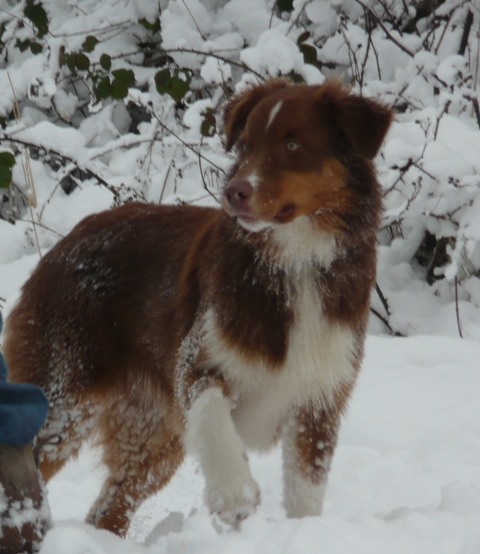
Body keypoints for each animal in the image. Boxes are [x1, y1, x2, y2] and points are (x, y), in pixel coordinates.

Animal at [3, 78, 392, 536]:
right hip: (63, 394)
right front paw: (235, 495)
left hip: (151, 432)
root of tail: (64, 243)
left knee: (109, 509)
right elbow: (212, 418)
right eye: (245, 145)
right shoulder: (196, 360)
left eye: (293, 145)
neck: (295, 260)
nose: (233, 193)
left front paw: (304, 534)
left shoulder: (318, 400)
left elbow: (305, 493)